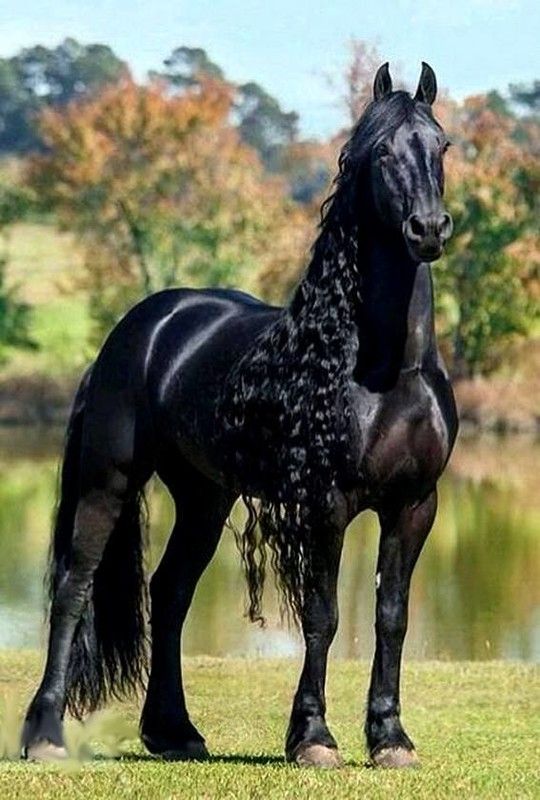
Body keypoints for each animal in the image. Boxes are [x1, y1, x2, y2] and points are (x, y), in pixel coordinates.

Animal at [21, 61, 458, 768]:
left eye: (440, 146)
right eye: (381, 153)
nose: (428, 229)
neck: (387, 370)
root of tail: (141, 328)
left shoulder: (415, 503)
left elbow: (391, 615)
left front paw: (390, 738)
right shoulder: (327, 502)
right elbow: (323, 614)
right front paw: (313, 738)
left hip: (204, 496)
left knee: (170, 592)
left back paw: (174, 731)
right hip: (107, 483)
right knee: (74, 586)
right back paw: (45, 735)